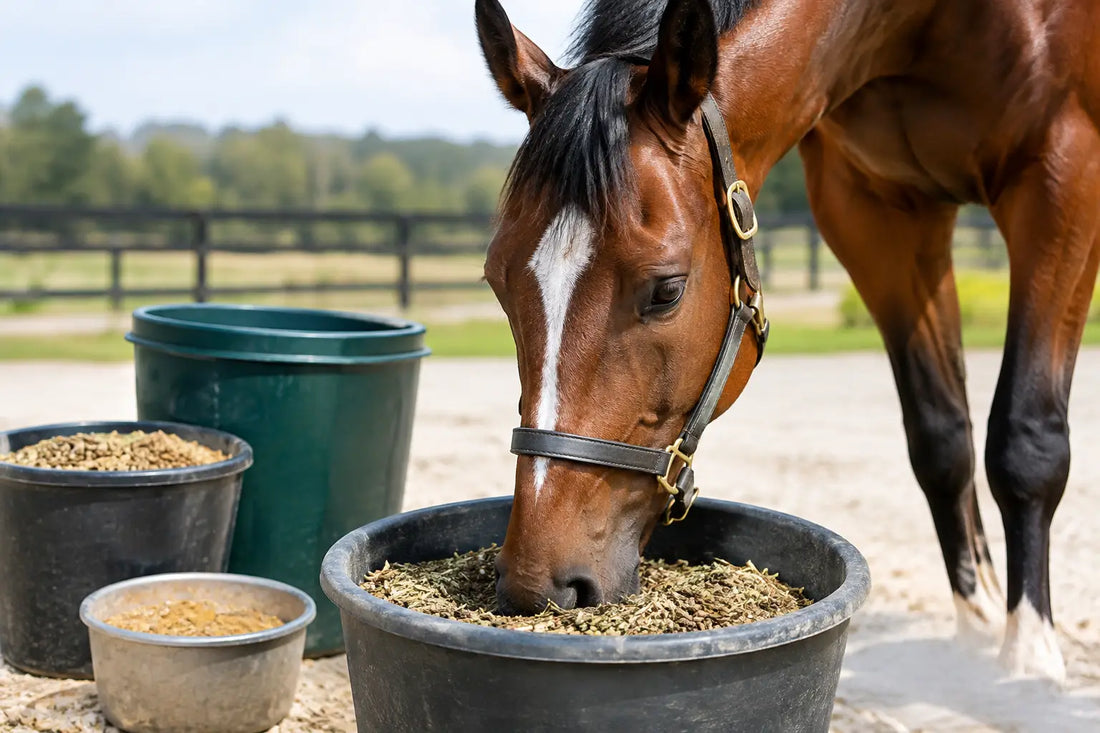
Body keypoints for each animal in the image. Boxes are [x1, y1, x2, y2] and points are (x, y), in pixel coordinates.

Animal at [475, 0, 1099, 683]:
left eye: (666, 291)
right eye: (497, 279)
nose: (535, 584)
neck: (922, 25)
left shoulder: (1063, 178)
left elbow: (1026, 440)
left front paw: (1028, 655)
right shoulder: (875, 211)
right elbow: (940, 439)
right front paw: (976, 624)